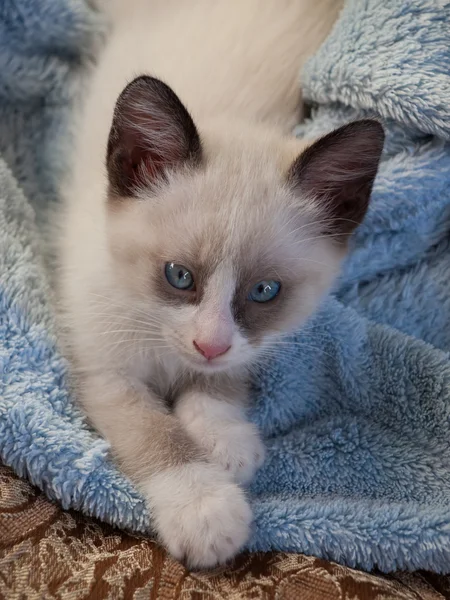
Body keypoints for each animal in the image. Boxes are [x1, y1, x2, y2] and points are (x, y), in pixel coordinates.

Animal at [56, 0, 384, 568]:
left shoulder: (242, 348)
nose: (207, 345)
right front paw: (205, 509)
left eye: (264, 292)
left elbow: (217, 385)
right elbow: (156, 435)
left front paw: (226, 444)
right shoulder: (105, 373)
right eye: (179, 277)